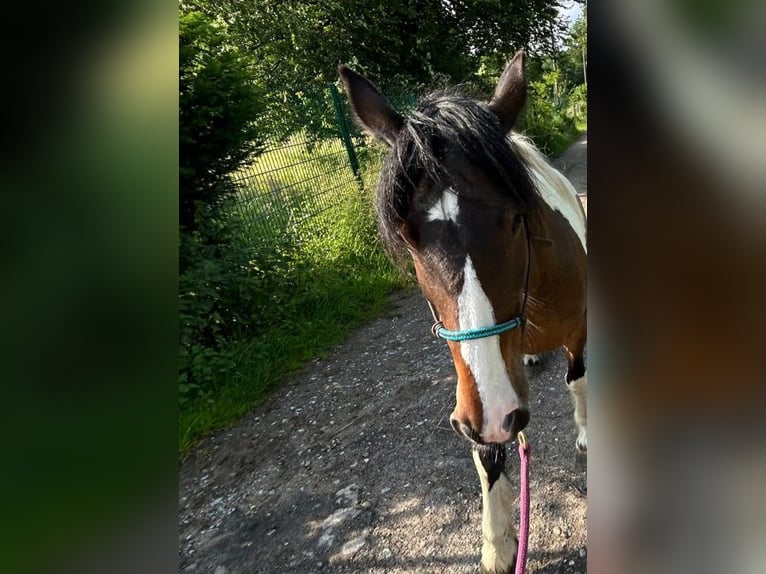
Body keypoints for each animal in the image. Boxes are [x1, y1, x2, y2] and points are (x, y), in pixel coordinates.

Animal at [338, 50, 586, 574]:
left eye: (516, 219)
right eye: (408, 236)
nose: (493, 411)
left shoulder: (578, 334)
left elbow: (578, 383)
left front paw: (586, 440)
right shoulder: (477, 392)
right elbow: (487, 449)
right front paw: (497, 543)